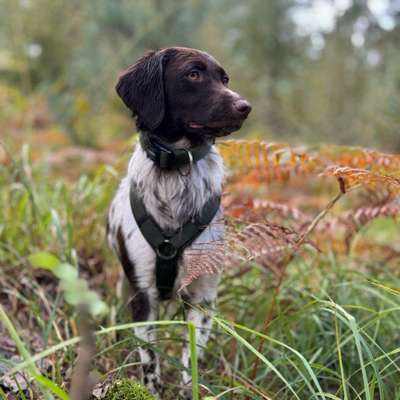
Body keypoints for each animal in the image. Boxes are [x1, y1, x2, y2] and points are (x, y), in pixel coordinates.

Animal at [106, 47, 250, 396]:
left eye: (224, 78)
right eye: (193, 74)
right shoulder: (143, 296)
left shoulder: (202, 298)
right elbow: (150, 363)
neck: (175, 171)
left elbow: (191, 364)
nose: (245, 107)